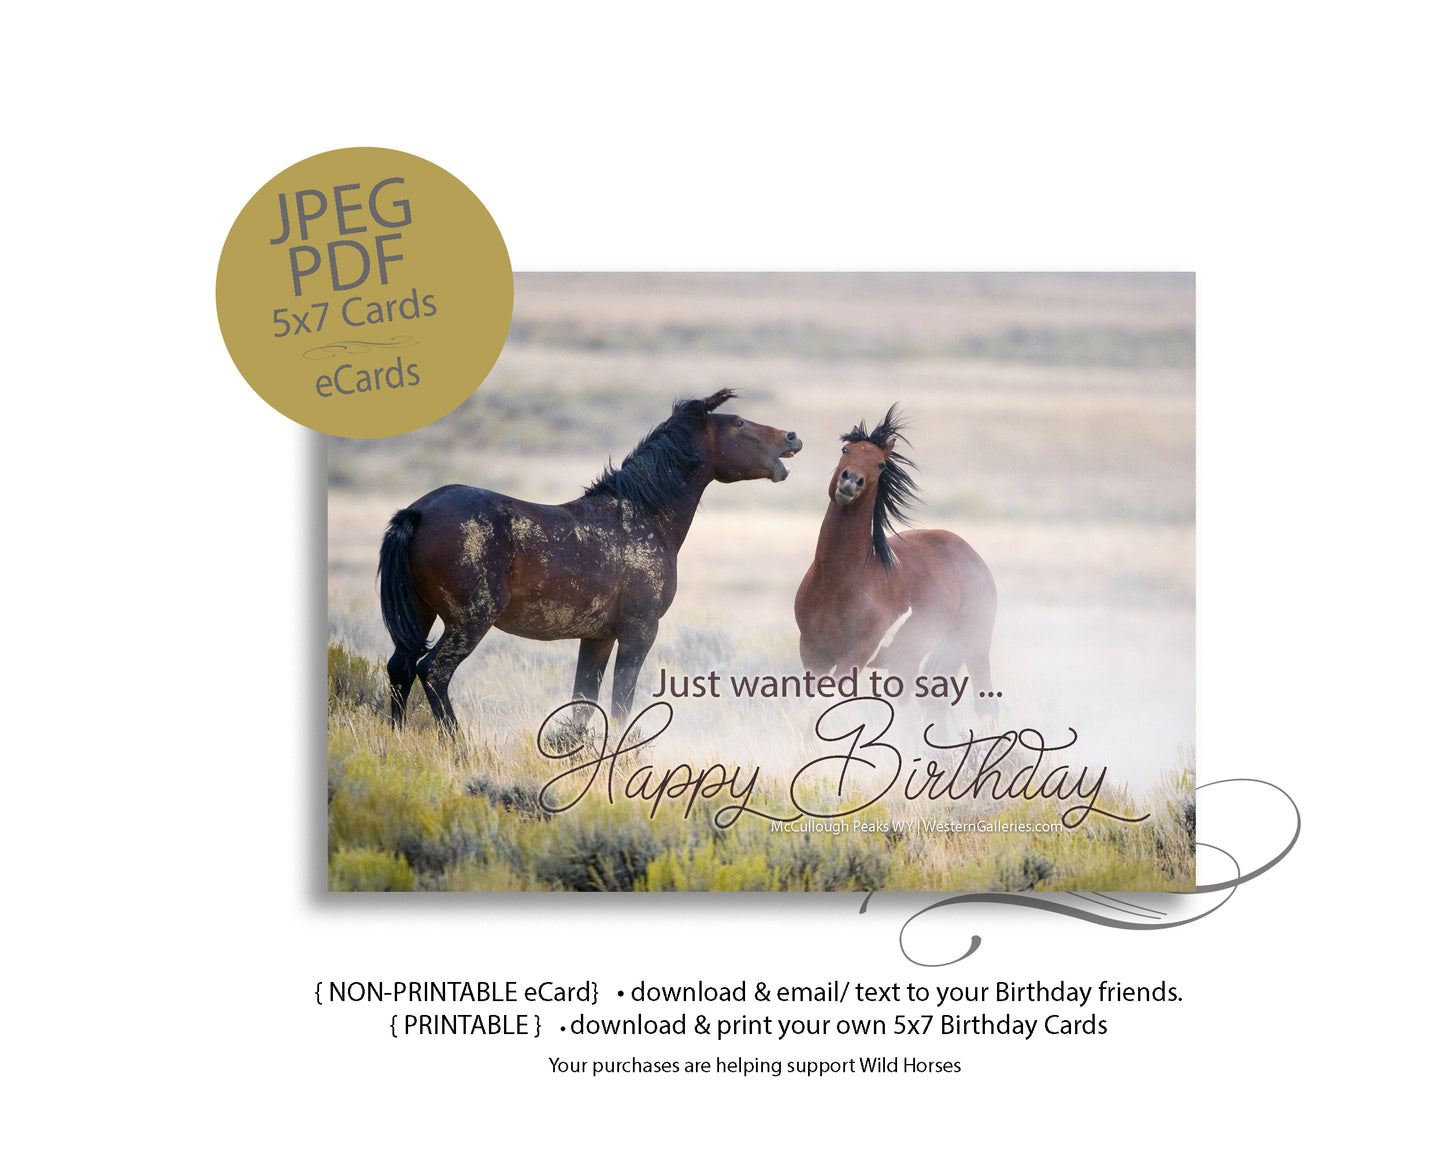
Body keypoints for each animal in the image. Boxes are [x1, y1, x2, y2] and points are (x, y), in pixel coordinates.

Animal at [378, 389, 801, 736]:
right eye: (739, 423)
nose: (792, 438)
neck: (643, 514)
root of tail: (419, 512)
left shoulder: (598, 637)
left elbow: (584, 701)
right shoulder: (639, 632)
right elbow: (620, 703)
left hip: (422, 615)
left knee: (401, 668)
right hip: (470, 621)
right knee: (433, 671)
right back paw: (461, 747)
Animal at [794, 405, 996, 708]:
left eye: (880, 464)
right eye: (845, 450)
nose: (851, 481)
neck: (837, 582)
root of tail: (972, 556)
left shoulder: (857, 654)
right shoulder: (812, 654)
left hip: (975, 647)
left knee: (986, 704)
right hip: (910, 662)